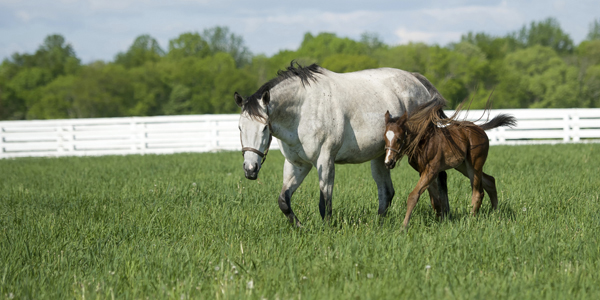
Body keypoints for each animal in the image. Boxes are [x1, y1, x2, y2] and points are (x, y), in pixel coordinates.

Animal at [236, 62, 450, 225]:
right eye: (239, 127)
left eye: (264, 128)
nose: (250, 169)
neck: (303, 110)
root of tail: (418, 82)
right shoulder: (296, 164)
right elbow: (284, 201)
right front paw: (299, 227)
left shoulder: (325, 160)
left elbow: (325, 202)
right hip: (382, 156)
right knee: (388, 193)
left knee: (438, 179)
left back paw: (443, 217)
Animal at [384, 98, 516, 227]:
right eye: (384, 138)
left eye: (398, 139)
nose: (388, 162)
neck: (422, 143)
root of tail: (479, 128)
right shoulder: (423, 172)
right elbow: (435, 200)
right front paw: (441, 221)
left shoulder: (431, 170)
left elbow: (413, 196)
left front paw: (403, 226)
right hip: (463, 166)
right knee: (490, 181)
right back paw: (496, 214)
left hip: (475, 165)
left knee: (478, 192)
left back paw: (470, 220)